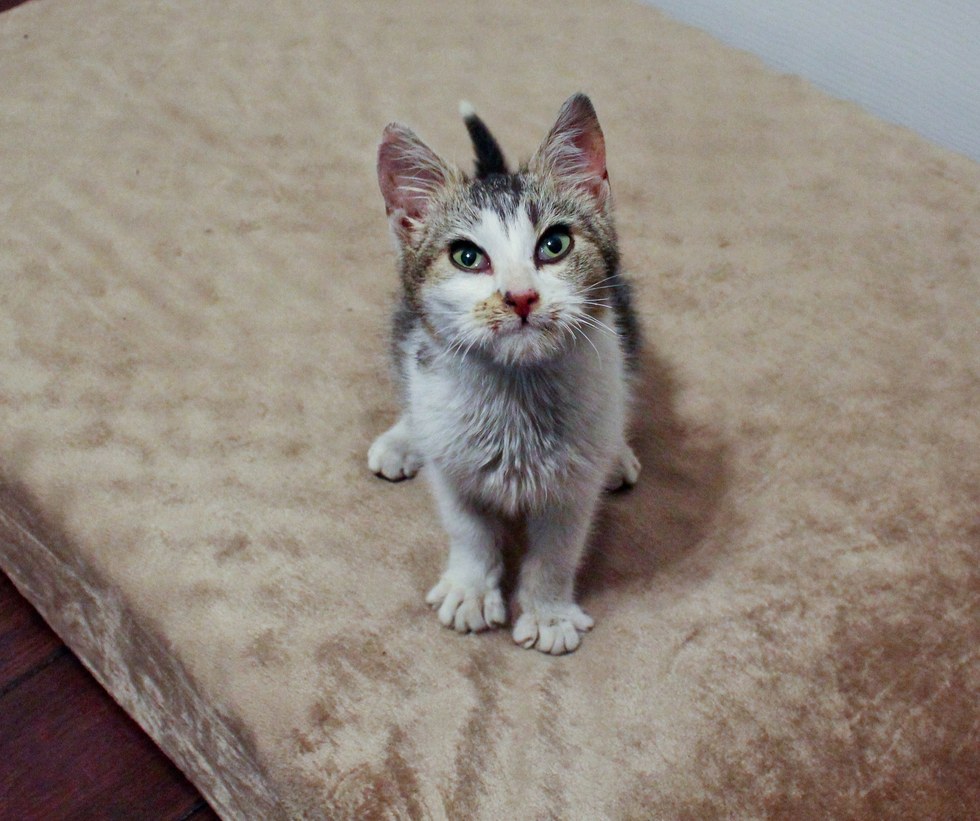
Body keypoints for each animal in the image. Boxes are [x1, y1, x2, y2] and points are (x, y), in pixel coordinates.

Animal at [370, 93, 644, 652]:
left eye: (555, 244)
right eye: (466, 256)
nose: (520, 296)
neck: (517, 396)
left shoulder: (571, 487)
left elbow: (558, 549)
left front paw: (548, 612)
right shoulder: (453, 468)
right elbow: (468, 529)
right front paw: (471, 589)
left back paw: (618, 453)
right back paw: (403, 438)